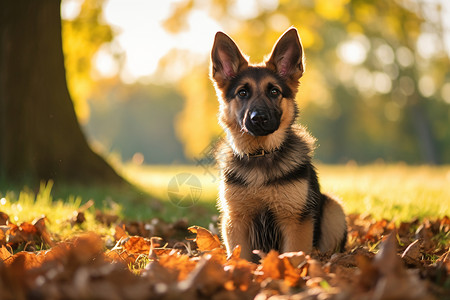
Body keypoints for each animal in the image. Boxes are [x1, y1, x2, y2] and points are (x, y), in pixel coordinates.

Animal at [209, 28, 346, 262]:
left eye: (274, 92)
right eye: (242, 92)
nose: (258, 118)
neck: (261, 153)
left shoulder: (295, 221)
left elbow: (294, 256)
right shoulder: (236, 221)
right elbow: (240, 257)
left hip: (333, 209)